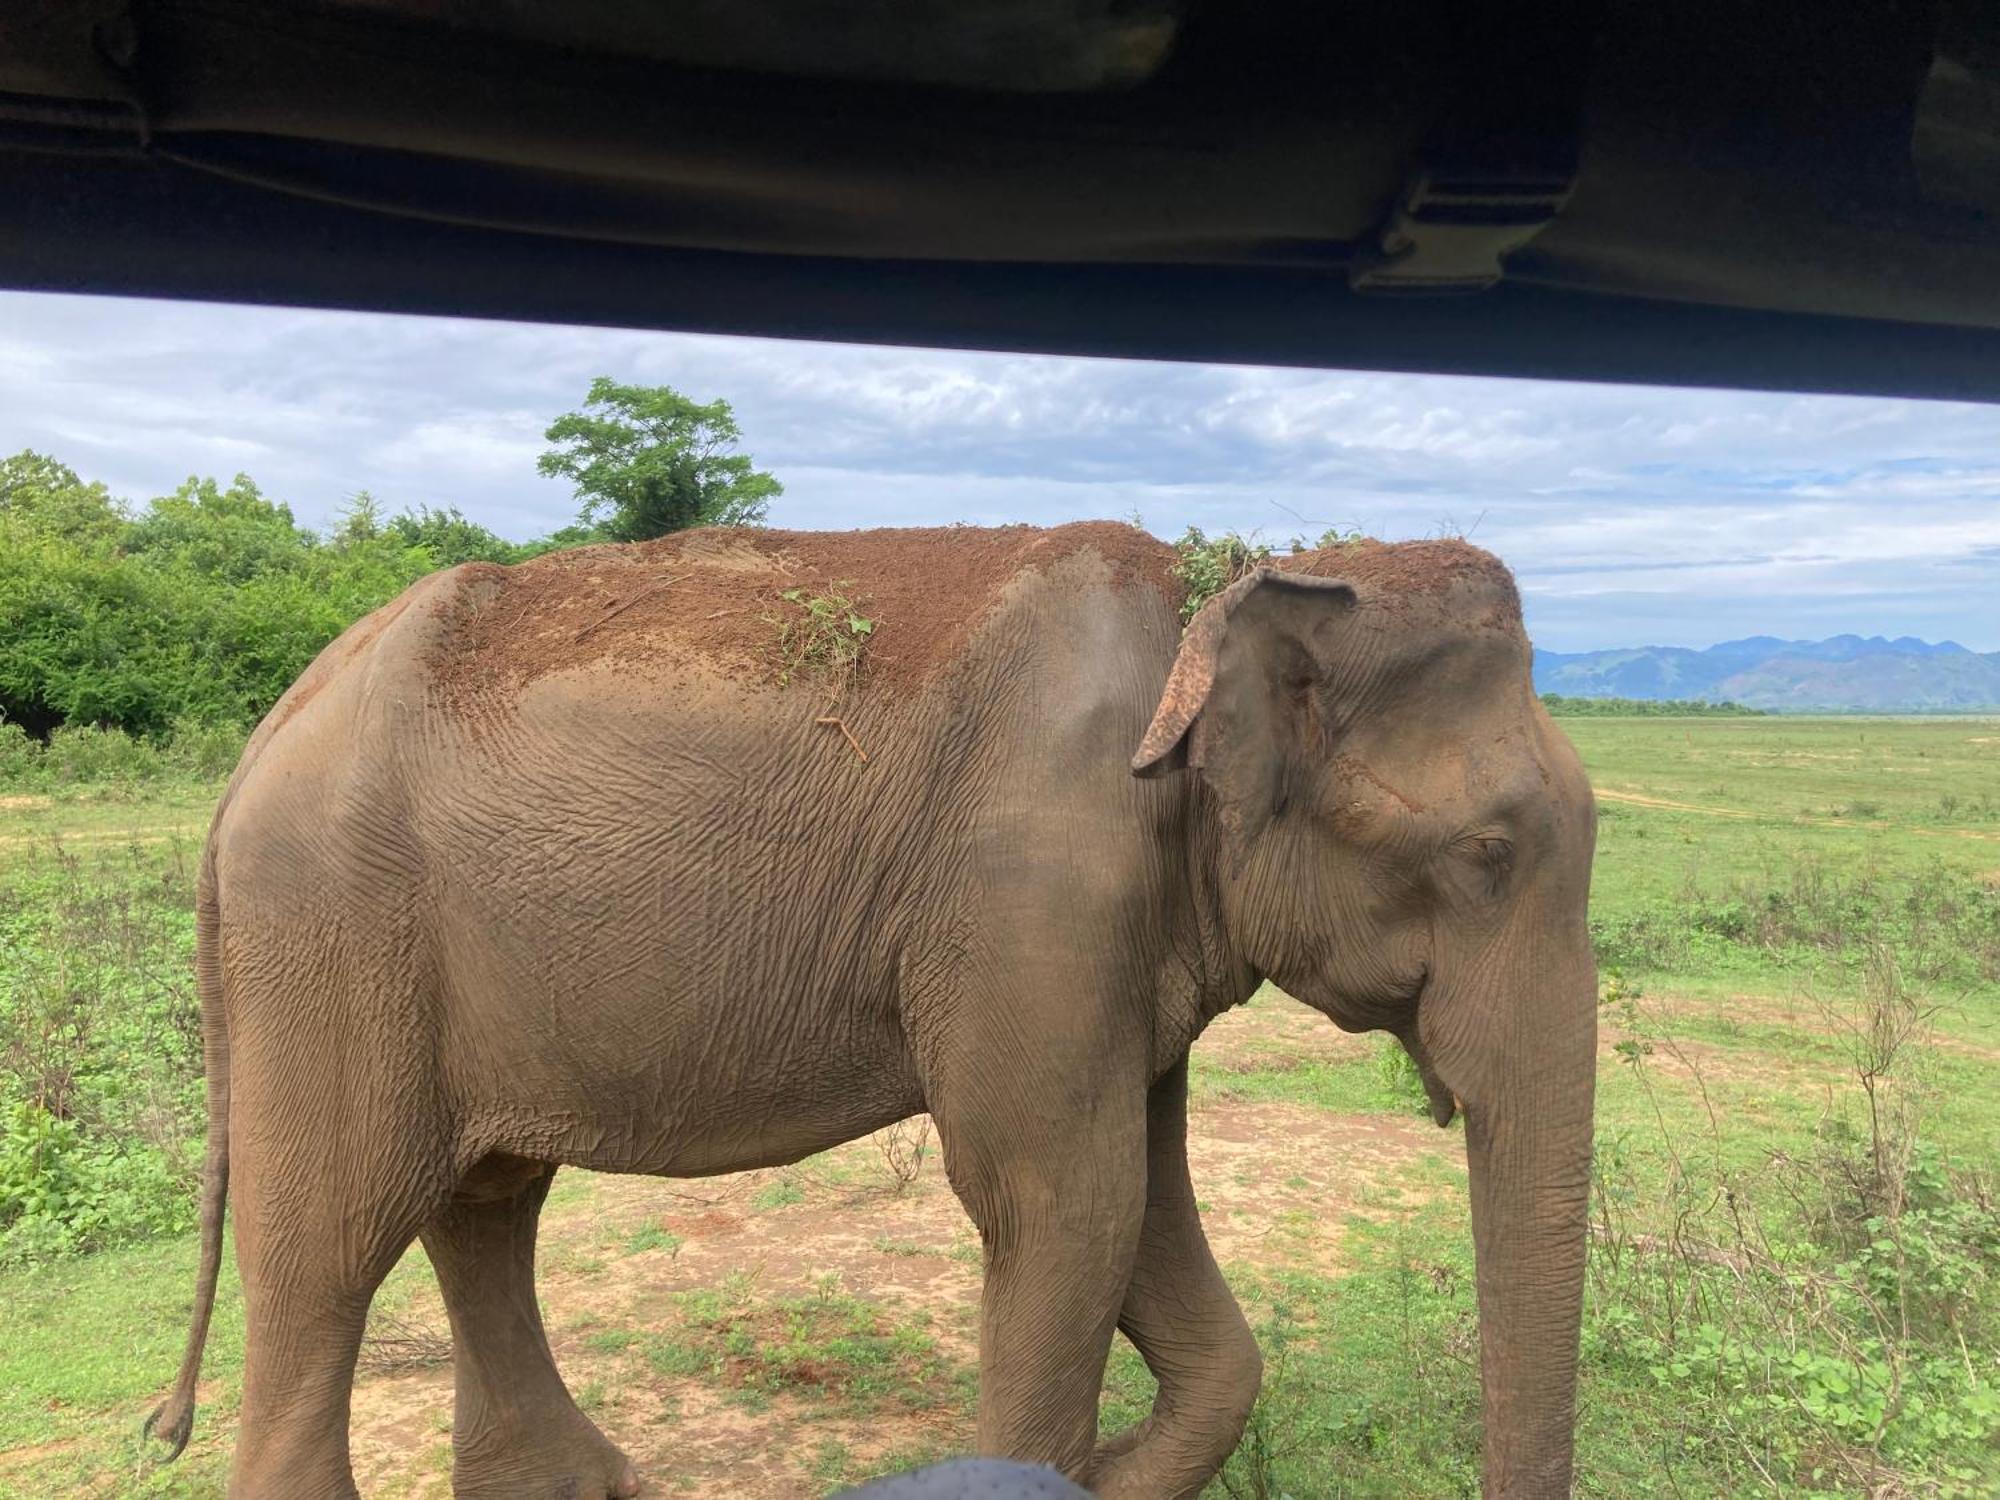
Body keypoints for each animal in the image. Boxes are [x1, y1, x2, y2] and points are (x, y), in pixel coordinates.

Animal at [148, 524, 1600, 1496]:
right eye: (1486, 855)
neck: (1219, 591)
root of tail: (264, 737)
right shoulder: (1034, 888)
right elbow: (1060, 1201)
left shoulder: (1109, 932)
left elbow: (1137, 1200)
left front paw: (1112, 1467)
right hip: (334, 933)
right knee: (331, 1243)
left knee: (485, 1202)